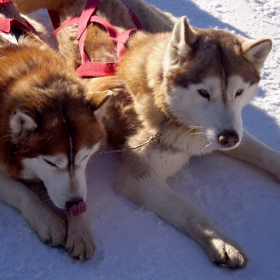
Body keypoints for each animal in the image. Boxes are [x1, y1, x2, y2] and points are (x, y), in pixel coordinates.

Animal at [0, 0, 124, 260]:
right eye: (50, 162)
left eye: (84, 157)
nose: (73, 204)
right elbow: (21, 191)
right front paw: (47, 221)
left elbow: (81, 185)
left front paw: (80, 230)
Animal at [14, 0, 280, 268]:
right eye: (204, 92)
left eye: (239, 92)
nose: (228, 139)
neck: (167, 110)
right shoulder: (138, 178)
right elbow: (190, 210)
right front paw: (221, 242)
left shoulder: (230, 129)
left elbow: (265, 153)